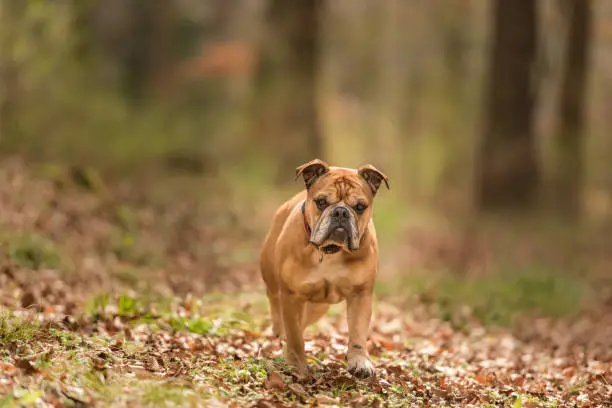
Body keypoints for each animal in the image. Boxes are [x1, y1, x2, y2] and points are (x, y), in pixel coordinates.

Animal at [260, 158, 390, 378]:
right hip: (270, 274)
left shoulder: (360, 294)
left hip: (318, 307)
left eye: (360, 206)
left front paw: (359, 360)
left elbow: (358, 330)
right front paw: (297, 364)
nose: (341, 212)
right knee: (275, 300)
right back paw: (279, 330)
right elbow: (294, 335)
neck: (331, 251)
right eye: (321, 202)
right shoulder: (291, 296)